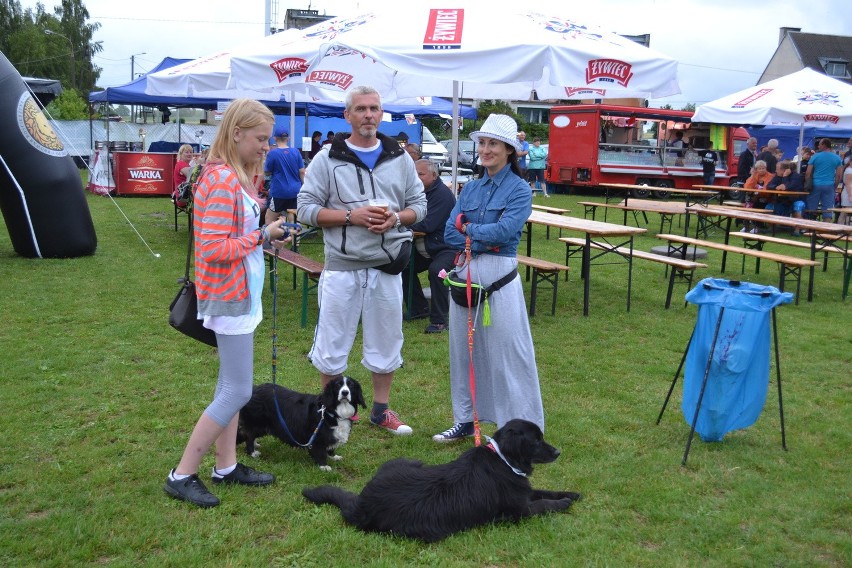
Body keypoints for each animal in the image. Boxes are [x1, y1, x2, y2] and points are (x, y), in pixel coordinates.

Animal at [302, 418, 584, 540]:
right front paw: (564, 504)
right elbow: (544, 504)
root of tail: (362, 503)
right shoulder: (519, 511)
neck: (503, 460)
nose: (558, 452)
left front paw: (572, 493)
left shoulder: (524, 491)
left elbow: (545, 490)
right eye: (536, 441)